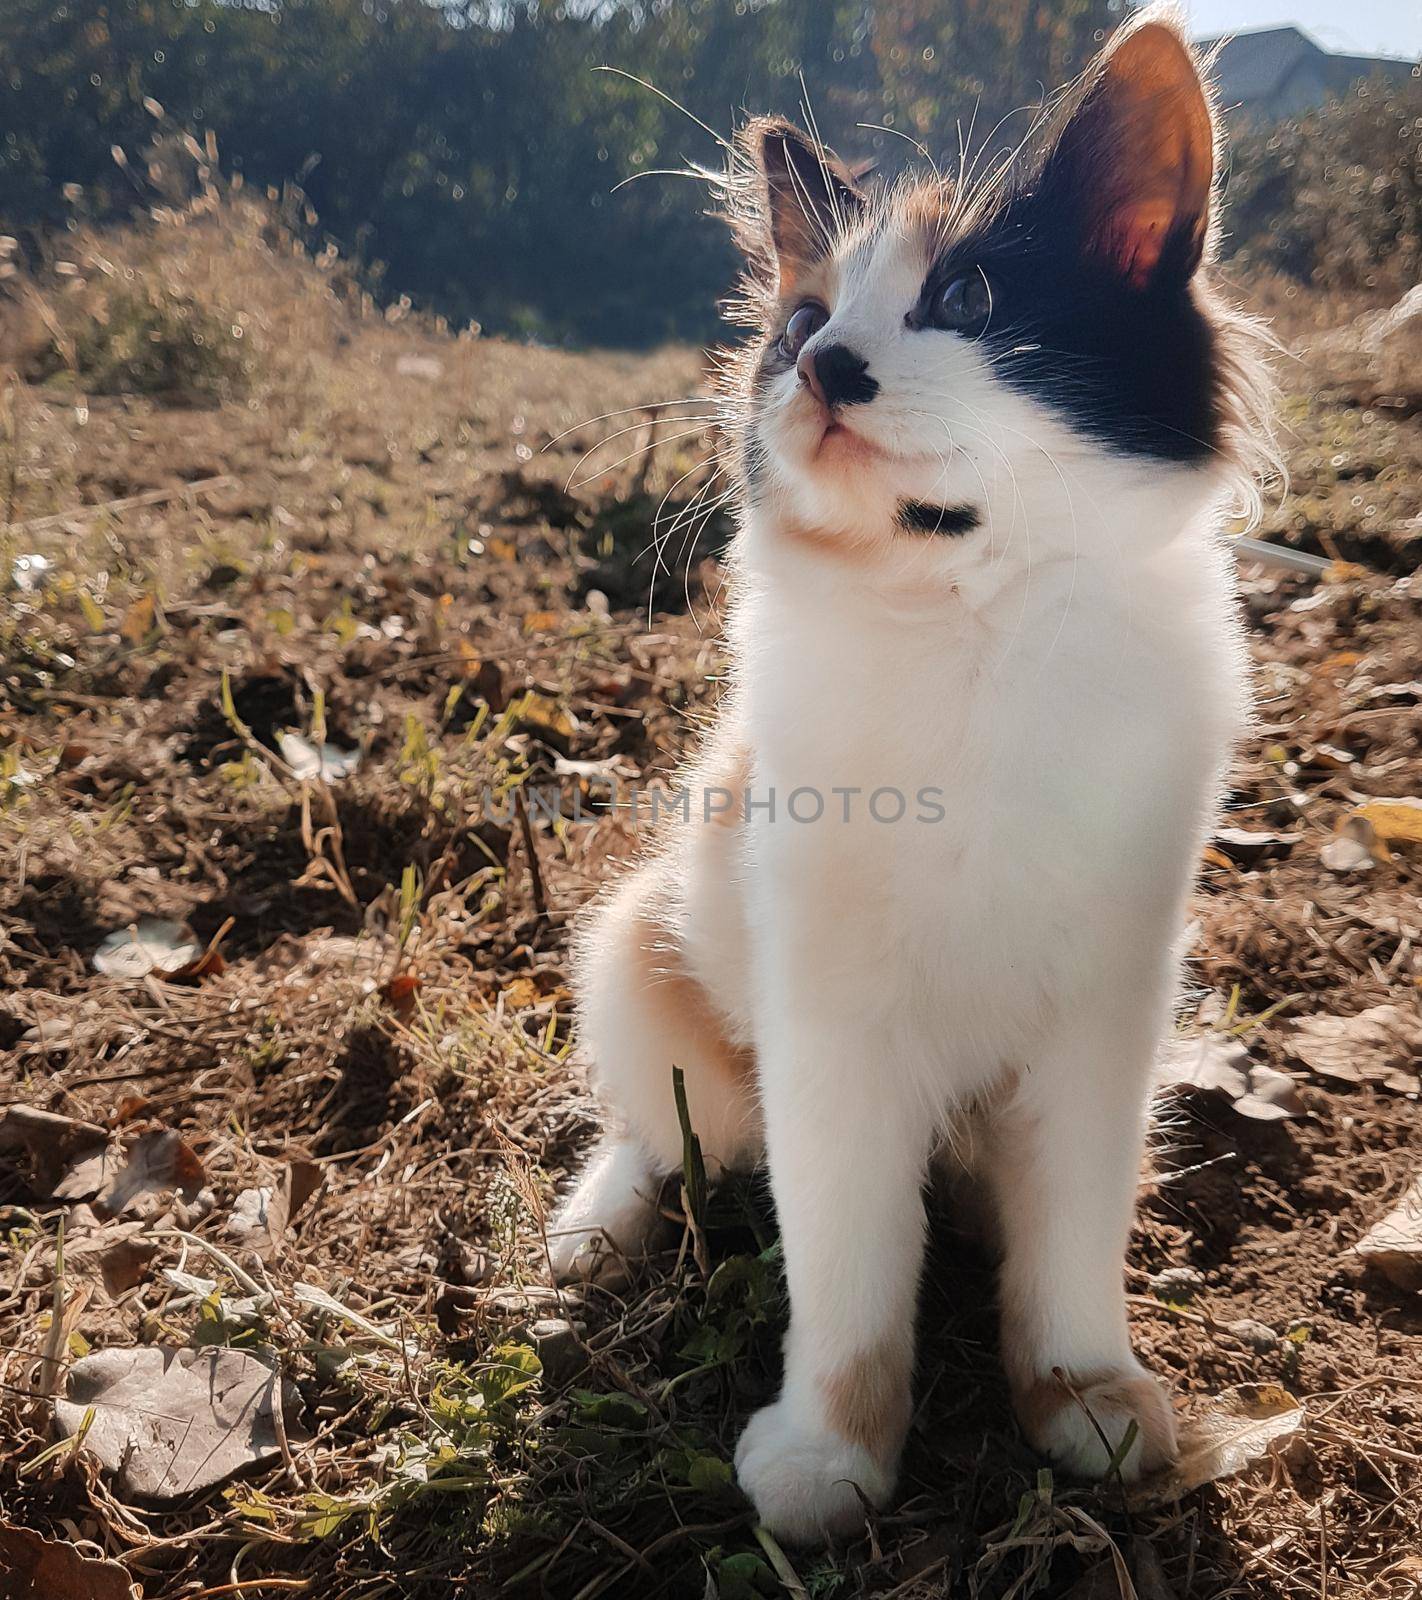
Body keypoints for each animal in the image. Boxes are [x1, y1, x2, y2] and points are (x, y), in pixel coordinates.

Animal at [547, 6, 1266, 1542]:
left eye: (973, 299)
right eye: (803, 326)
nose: (824, 368)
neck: (967, 623)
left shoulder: (1105, 1017)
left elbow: (1070, 1239)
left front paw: (1082, 1395)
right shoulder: (833, 1033)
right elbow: (851, 1267)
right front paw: (828, 1457)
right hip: (639, 945)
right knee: (668, 1130)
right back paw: (596, 1229)